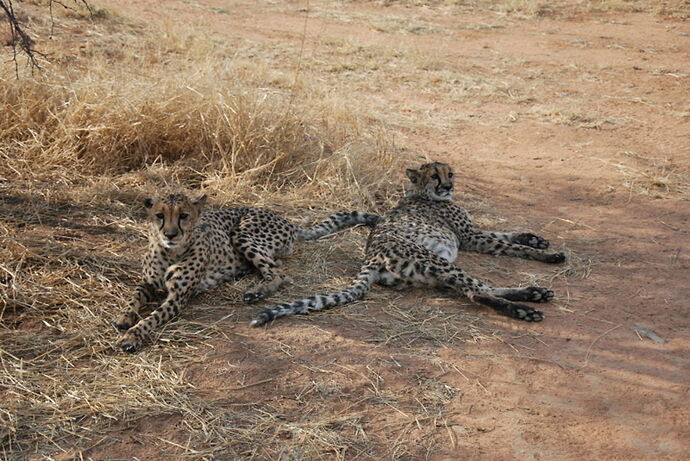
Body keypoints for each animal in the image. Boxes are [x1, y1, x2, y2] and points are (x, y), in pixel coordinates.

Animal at [115, 192, 378, 350]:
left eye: (184, 216)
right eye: (159, 216)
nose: (170, 234)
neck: (170, 251)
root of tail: (286, 220)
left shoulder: (178, 297)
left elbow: (152, 317)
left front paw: (132, 335)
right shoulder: (147, 282)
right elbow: (133, 298)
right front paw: (123, 318)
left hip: (242, 234)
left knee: (279, 273)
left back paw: (255, 292)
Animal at [253, 162, 564, 328]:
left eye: (450, 173)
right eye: (435, 175)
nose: (449, 186)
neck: (421, 193)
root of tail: (371, 257)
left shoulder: (471, 234)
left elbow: (507, 234)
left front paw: (535, 238)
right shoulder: (470, 237)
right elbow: (511, 246)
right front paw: (550, 255)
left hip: (434, 273)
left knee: (477, 287)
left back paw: (534, 294)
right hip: (437, 261)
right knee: (477, 291)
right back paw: (525, 308)